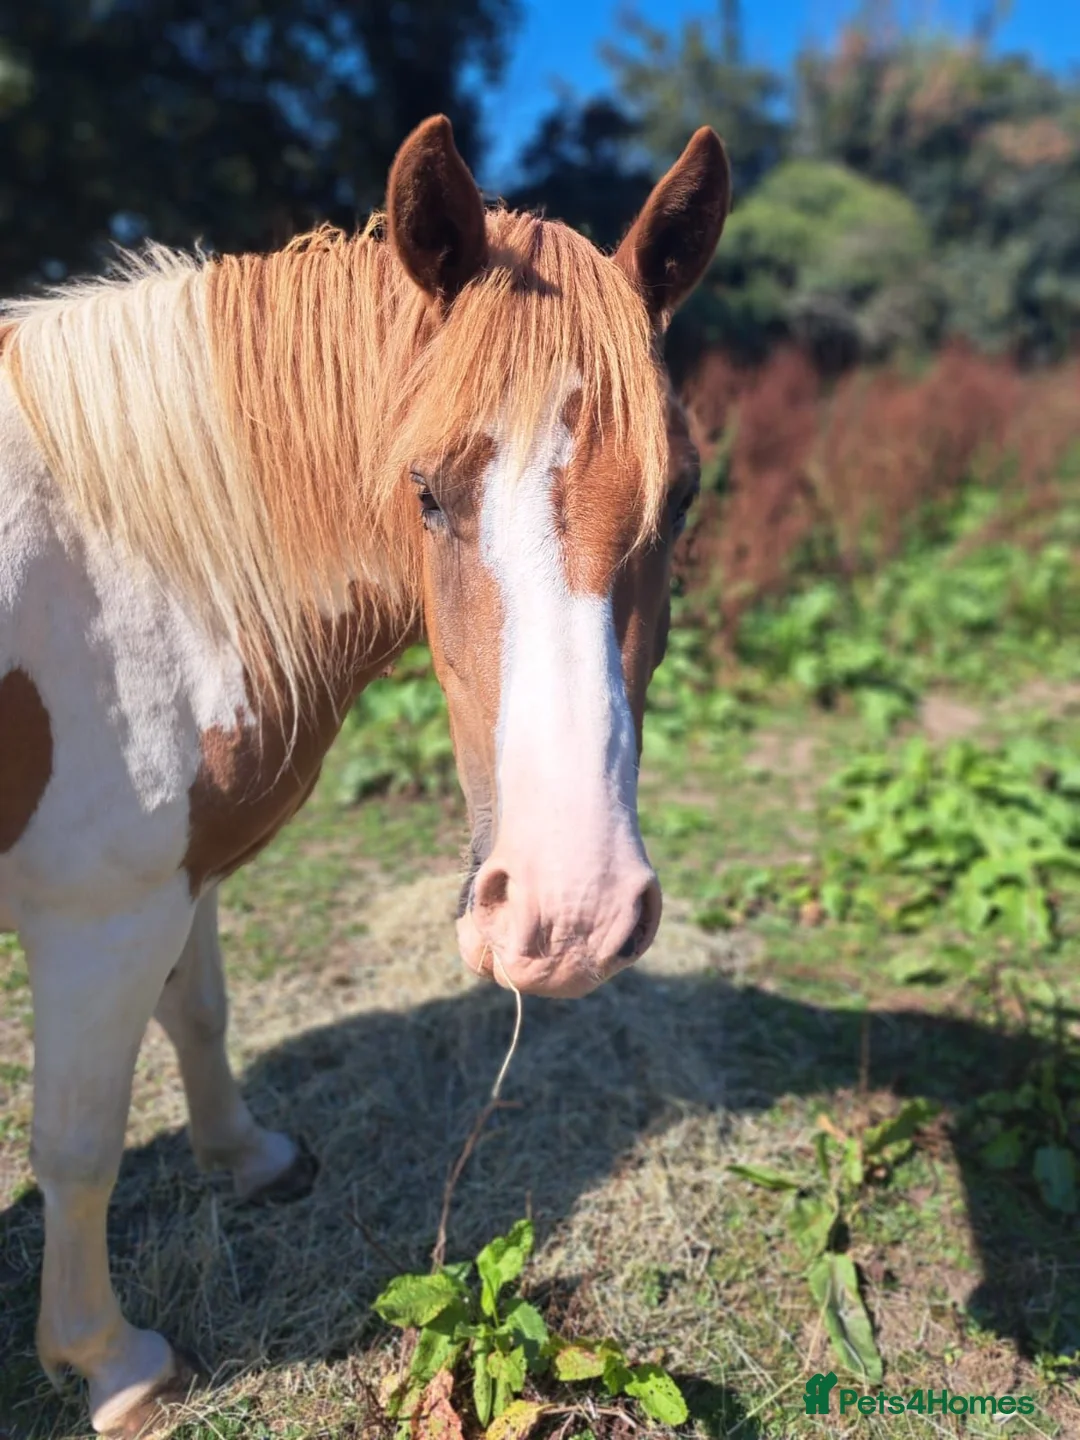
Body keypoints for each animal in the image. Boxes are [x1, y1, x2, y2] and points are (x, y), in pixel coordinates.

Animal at [0, 114, 729, 1436]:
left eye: (685, 491)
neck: (125, 559)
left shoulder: (179, 874)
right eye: (426, 490)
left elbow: (199, 1009)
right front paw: (109, 1362)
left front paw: (245, 1159)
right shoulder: (98, 914)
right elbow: (76, 1144)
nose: (570, 917)